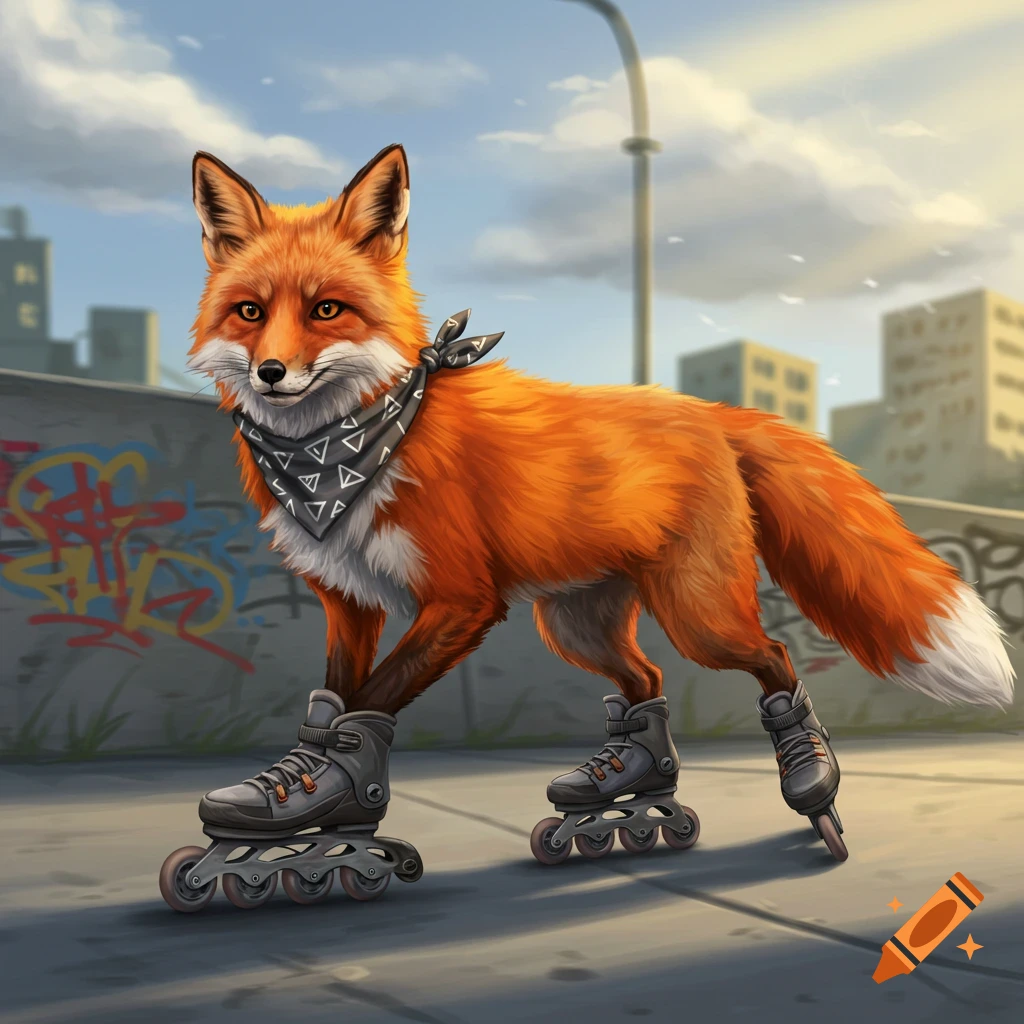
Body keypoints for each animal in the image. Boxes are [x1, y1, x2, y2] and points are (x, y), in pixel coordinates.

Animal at [185, 143, 1014, 872]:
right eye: (250, 312)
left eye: (327, 309)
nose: (270, 373)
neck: (349, 453)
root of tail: (709, 412)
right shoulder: (349, 598)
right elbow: (334, 700)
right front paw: (290, 804)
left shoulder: (460, 599)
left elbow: (370, 703)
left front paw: (339, 805)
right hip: (574, 623)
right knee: (644, 683)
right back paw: (625, 793)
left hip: (696, 614)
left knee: (772, 659)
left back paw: (811, 786)